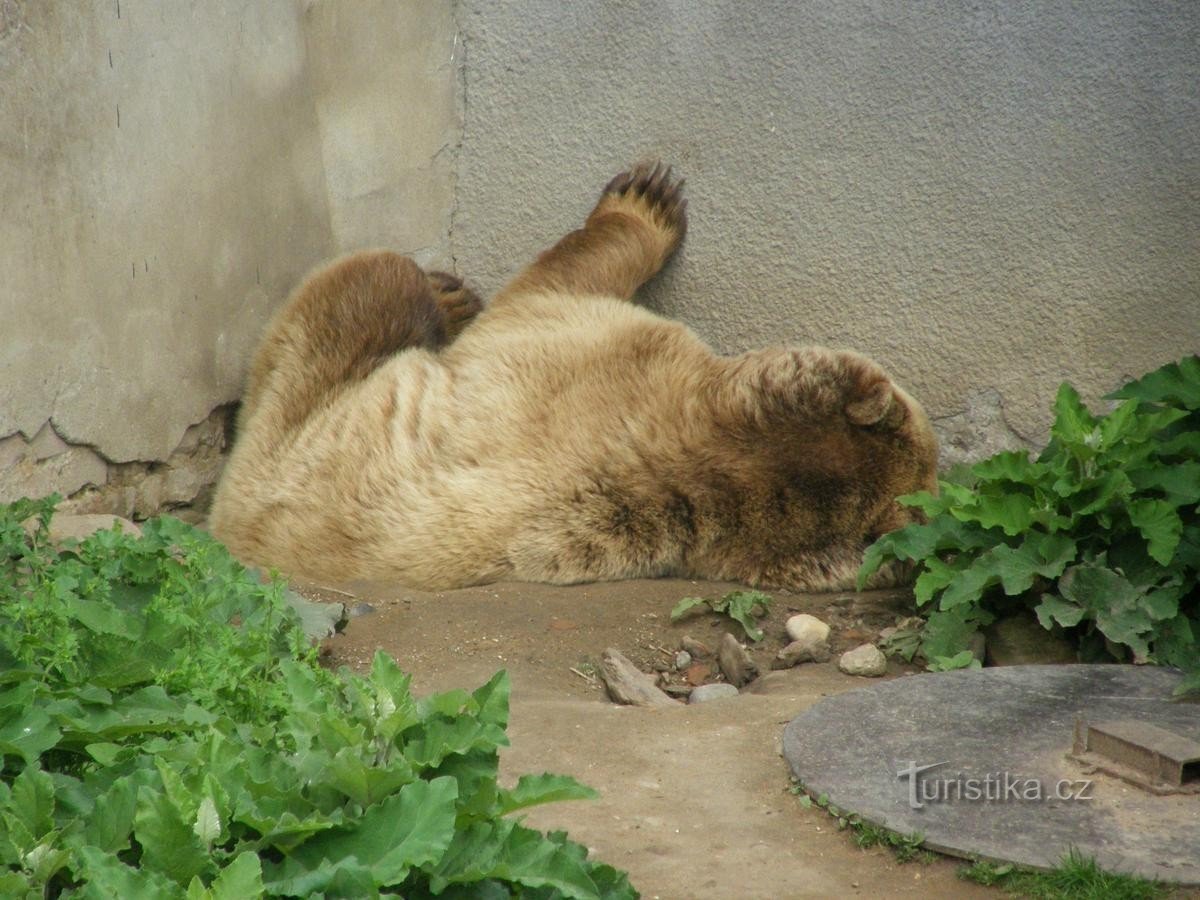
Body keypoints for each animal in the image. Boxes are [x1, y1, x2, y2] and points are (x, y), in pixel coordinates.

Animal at [208, 162, 936, 592]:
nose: (935, 479)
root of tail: (223, 528)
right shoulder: (589, 354)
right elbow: (558, 280)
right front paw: (649, 193)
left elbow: (551, 283)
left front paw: (643, 196)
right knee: (381, 276)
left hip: (295, 410)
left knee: (374, 280)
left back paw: (445, 294)